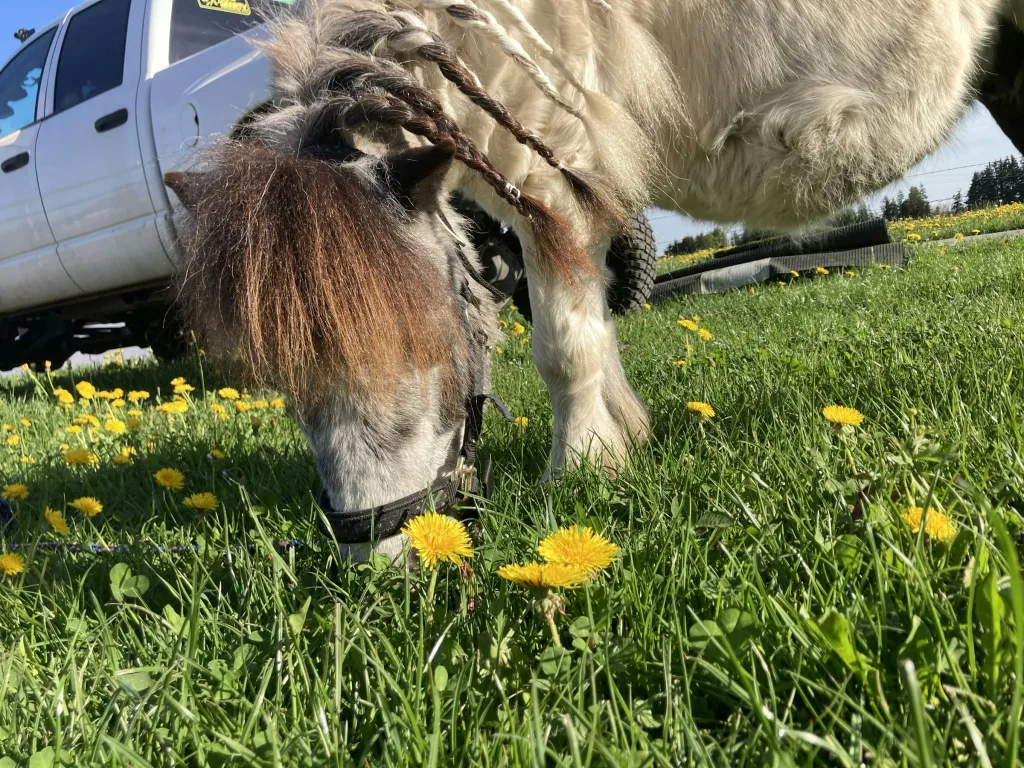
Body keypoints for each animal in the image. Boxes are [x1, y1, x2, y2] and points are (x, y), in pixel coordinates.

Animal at [166, 0, 1012, 555]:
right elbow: (592, 333)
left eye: (424, 342)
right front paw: (621, 441)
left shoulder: (550, 187)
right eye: (287, 380)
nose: (383, 556)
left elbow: (564, 346)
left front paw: (577, 471)